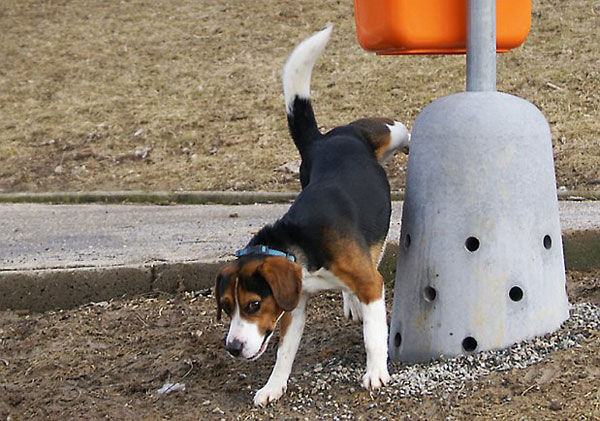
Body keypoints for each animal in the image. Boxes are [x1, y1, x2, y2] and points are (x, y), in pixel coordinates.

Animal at [213, 24, 410, 406]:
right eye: (227, 306)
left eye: (253, 304)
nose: (233, 347)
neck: (295, 245)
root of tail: (321, 141)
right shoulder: (294, 304)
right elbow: (284, 352)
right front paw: (272, 387)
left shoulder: (371, 284)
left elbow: (373, 336)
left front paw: (376, 372)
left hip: (392, 131)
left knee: (405, 132)